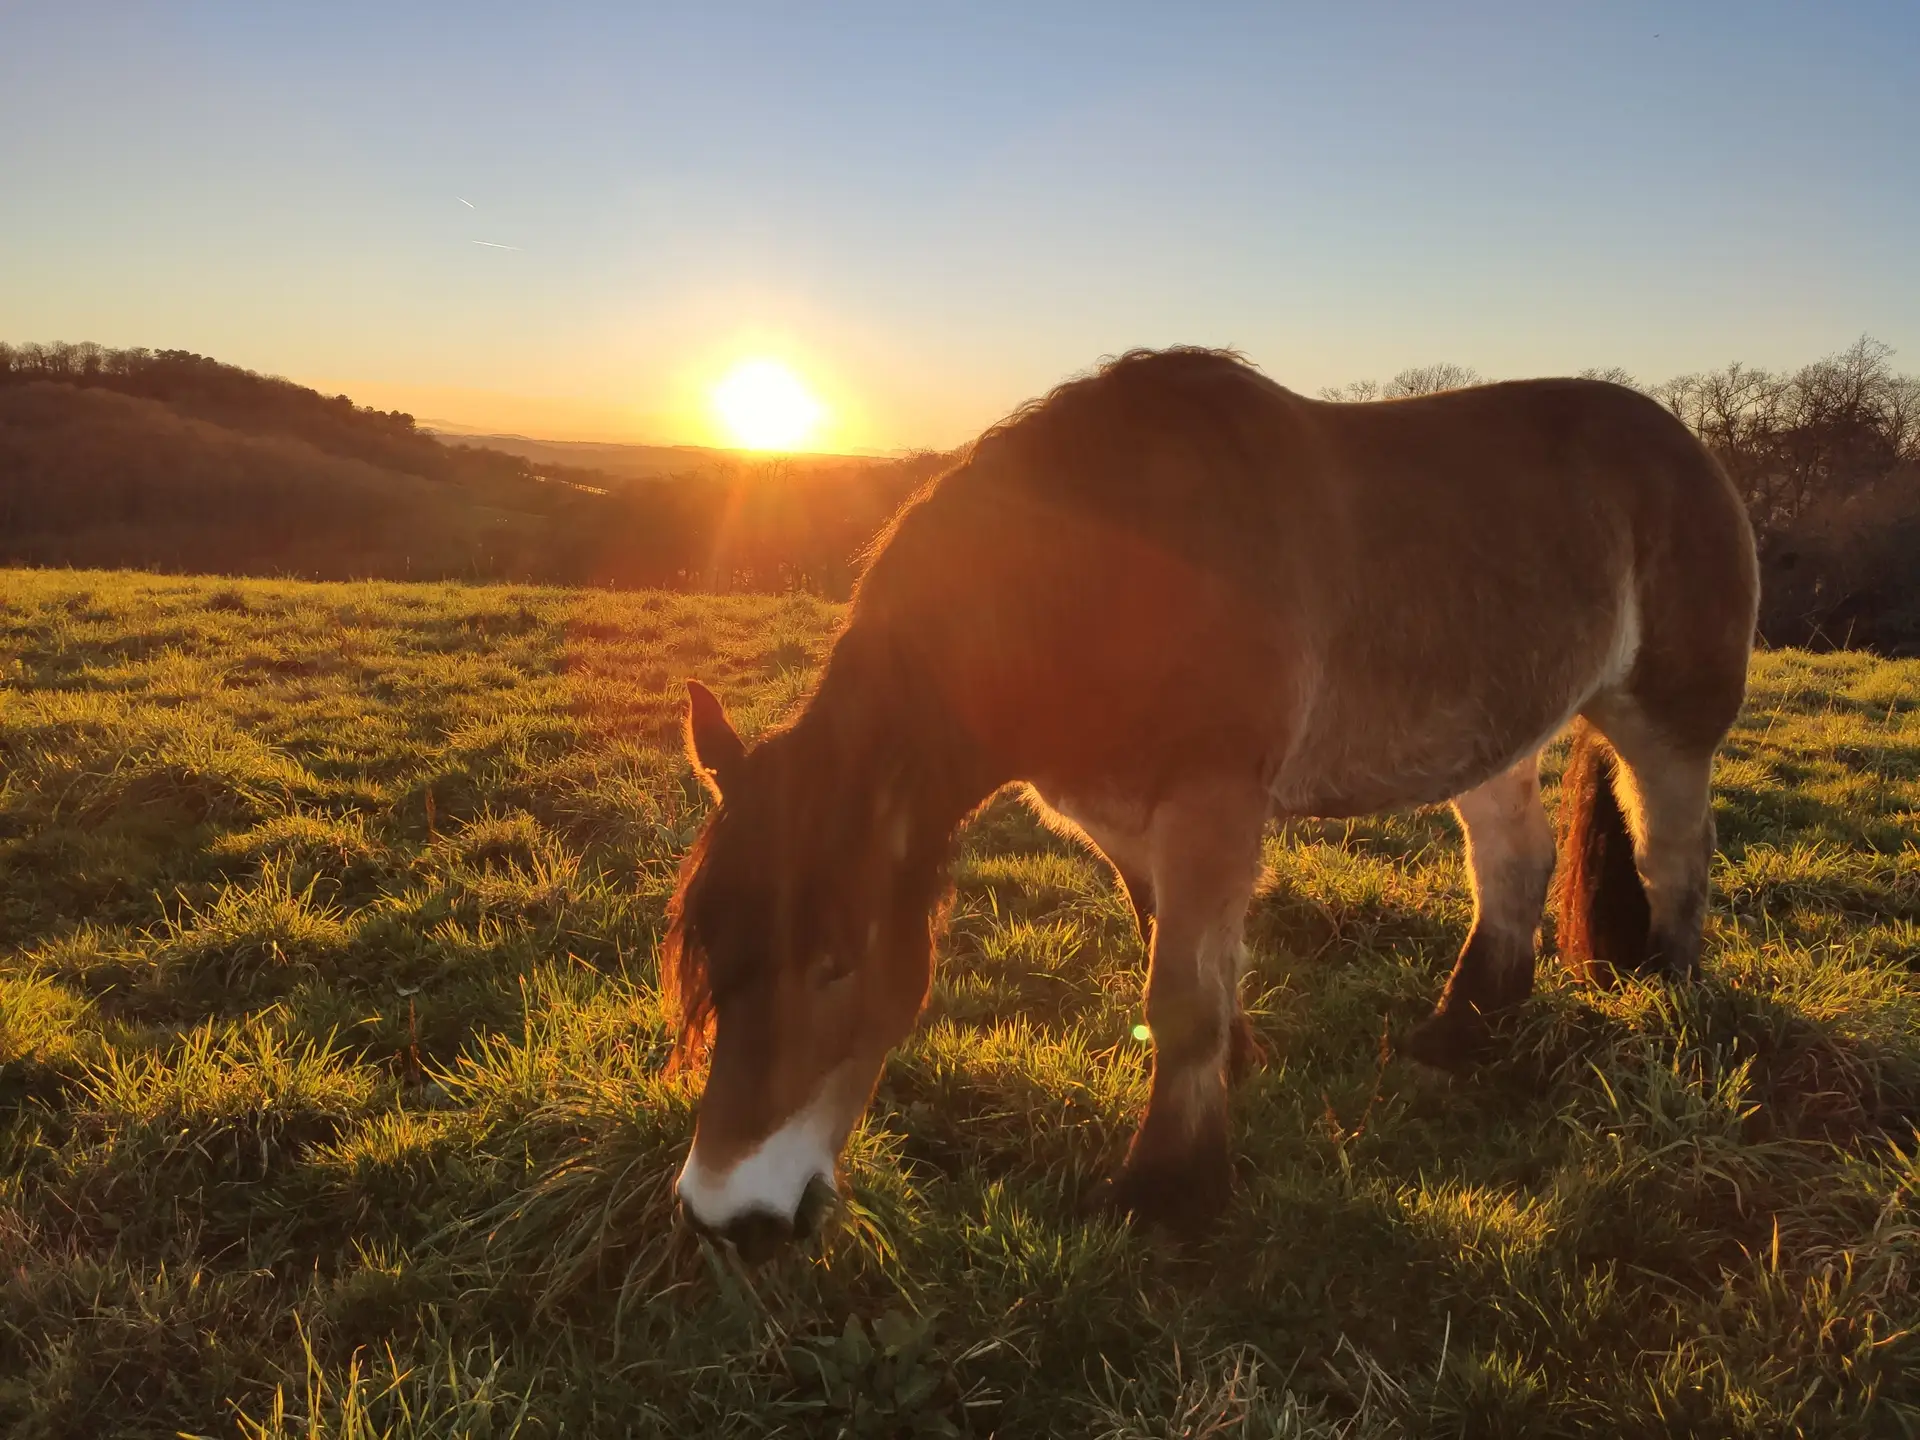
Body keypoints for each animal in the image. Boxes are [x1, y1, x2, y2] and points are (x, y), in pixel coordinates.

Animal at [664, 347, 1759, 1253]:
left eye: (836, 966)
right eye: (708, 958)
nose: (729, 1217)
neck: (1108, 573)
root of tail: (1680, 441)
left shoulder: (1212, 805)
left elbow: (1180, 995)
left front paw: (1169, 1189)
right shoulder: (1124, 820)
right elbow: (1185, 962)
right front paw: (1234, 1069)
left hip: (1665, 719)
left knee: (1675, 850)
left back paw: (1669, 996)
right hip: (1493, 726)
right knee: (1514, 862)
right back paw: (1464, 1028)